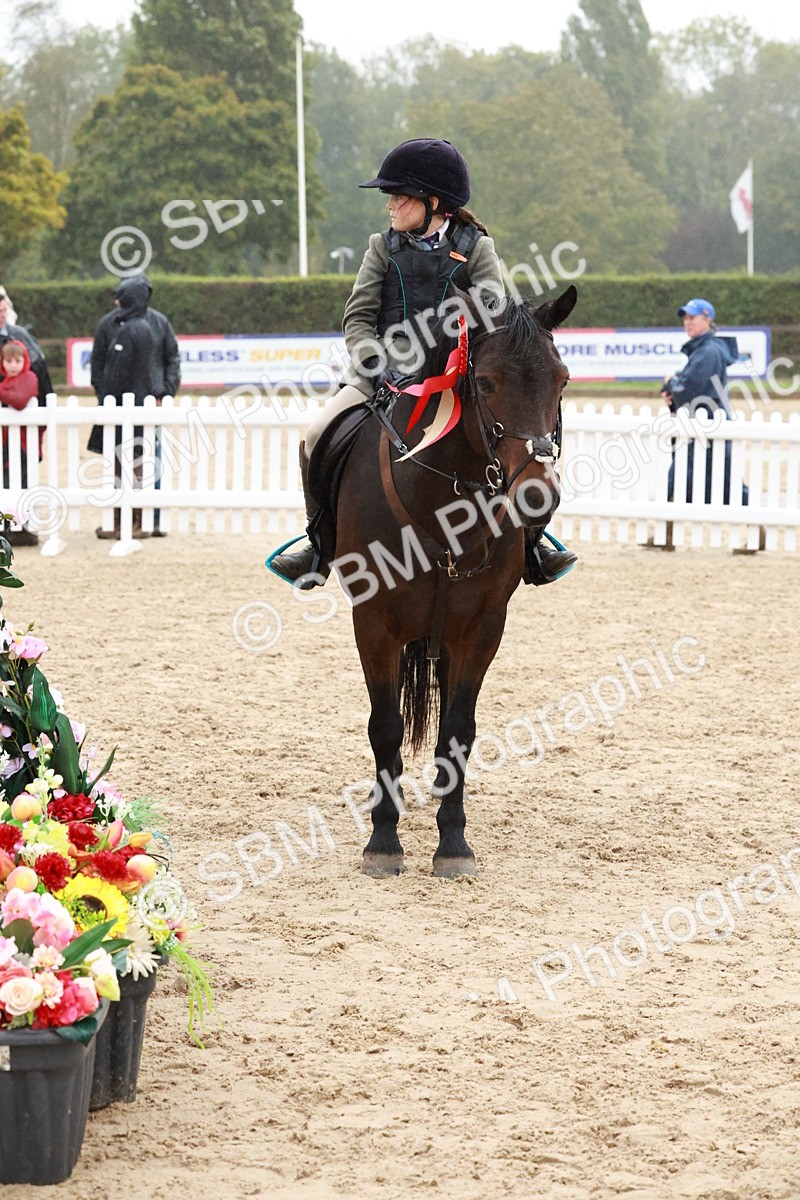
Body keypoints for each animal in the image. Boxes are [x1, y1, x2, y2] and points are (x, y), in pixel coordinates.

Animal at [331, 284, 577, 877]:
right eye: (485, 382)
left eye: (561, 379)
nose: (537, 495)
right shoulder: (373, 624)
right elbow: (385, 725)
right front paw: (383, 840)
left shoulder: (481, 628)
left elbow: (458, 730)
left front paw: (453, 842)